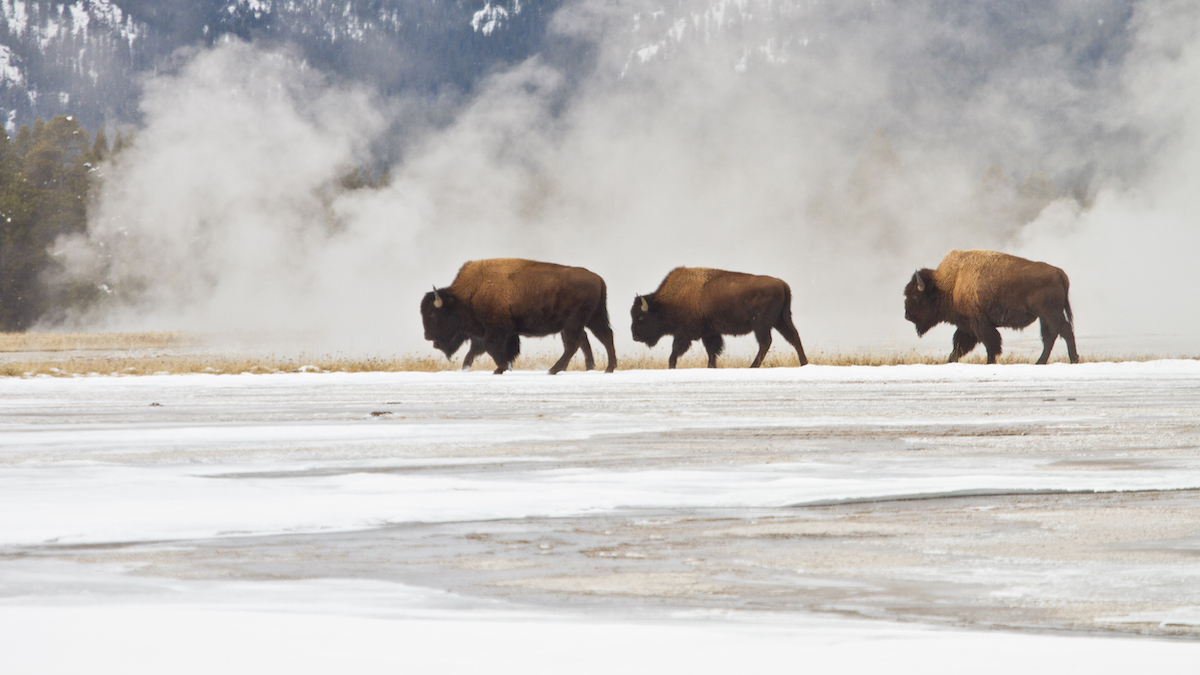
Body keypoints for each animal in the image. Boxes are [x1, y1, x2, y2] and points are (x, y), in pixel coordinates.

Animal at [421, 258, 617, 374]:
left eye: (432, 314)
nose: (428, 336)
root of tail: (598, 279)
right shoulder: (501, 332)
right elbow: (484, 350)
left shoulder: (495, 330)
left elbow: (491, 348)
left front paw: (499, 369)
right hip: (592, 319)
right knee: (603, 337)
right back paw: (607, 368)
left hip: (574, 322)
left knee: (574, 344)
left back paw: (553, 370)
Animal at [631, 267, 808, 368]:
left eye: (640, 317)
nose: (635, 336)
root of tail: (782, 284)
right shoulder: (709, 333)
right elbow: (712, 351)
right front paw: (711, 366)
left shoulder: (684, 333)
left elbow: (675, 350)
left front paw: (671, 365)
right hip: (781, 320)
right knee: (793, 337)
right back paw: (804, 363)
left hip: (761, 325)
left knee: (766, 342)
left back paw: (752, 366)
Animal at [904, 249, 1079, 364]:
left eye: (916, 296)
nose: (907, 315)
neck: (951, 283)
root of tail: (1058, 272)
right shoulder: (967, 326)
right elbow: (959, 346)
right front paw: (950, 360)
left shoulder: (978, 323)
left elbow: (990, 343)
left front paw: (990, 362)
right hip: (1044, 316)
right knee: (1050, 335)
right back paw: (1039, 362)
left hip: (1051, 313)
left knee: (1064, 330)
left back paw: (1074, 359)